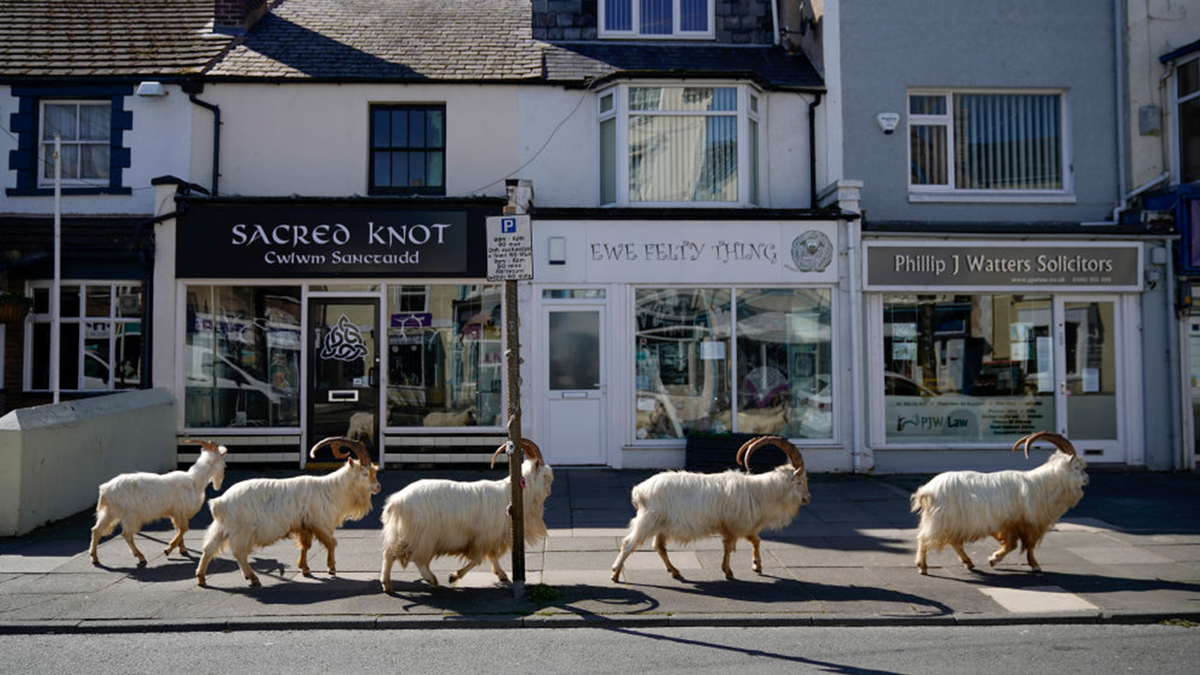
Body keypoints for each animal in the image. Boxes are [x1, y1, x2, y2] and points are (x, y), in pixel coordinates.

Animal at [88, 437, 226, 562]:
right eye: (223, 463)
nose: (220, 483)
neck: (194, 480)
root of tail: (104, 490)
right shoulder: (179, 511)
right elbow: (184, 529)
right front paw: (168, 549)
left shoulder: (176, 513)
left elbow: (180, 529)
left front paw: (182, 549)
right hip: (130, 515)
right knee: (126, 534)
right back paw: (140, 556)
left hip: (110, 512)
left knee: (96, 530)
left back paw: (94, 557)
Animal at [195, 437, 379, 583]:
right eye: (364, 473)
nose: (378, 487)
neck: (331, 489)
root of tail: (220, 502)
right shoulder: (320, 523)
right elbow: (332, 543)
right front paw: (331, 569)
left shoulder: (304, 526)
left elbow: (306, 546)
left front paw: (305, 569)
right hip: (242, 530)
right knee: (239, 553)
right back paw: (253, 577)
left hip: (221, 527)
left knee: (208, 548)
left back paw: (201, 578)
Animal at [379, 437, 552, 588]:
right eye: (545, 476)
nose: (549, 491)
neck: (512, 495)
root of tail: (396, 501)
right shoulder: (481, 538)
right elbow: (477, 559)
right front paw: (454, 576)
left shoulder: (490, 538)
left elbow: (492, 555)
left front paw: (501, 574)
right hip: (423, 537)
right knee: (417, 559)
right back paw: (431, 580)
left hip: (404, 534)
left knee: (389, 553)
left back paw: (387, 584)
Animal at [614, 432, 811, 581]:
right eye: (800, 482)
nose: (807, 498)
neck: (759, 492)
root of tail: (639, 491)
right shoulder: (735, 525)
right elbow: (730, 547)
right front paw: (729, 572)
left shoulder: (740, 526)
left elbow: (755, 540)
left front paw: (757, 566)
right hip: (648, 520)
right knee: (628, 543)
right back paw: (615, 574)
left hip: (661, 525)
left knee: (659, 546)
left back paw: (675, 571)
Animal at [912, 429, 1094, 571]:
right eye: (1077, 467)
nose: (1087, 479)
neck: (1040, 485)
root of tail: (928, 490)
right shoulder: (1019, 523)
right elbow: (1017, 545)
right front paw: (997, 559)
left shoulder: (1022, 524)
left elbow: (1024, 546)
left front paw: (1031, 564)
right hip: (941, 520)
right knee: (924, 538)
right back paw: (923, 566)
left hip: (953, 523)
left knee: (953, 542)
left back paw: (968, 562)